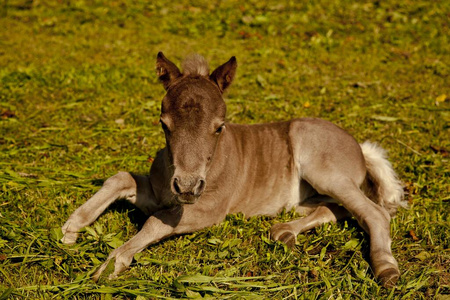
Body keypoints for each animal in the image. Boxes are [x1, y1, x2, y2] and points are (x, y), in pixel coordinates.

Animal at [61, 52, 406, 288]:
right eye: (164, 124)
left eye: (219, 127)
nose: (187, 187)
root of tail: (360, 149)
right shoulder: (160, 193)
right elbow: (121, 179)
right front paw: (71, 229)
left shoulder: (208, 210)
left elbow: (155, 223)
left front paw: (111, 264)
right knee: (338, 208)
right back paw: (283, 231)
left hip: (323, 169)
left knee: (373, 212)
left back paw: (387, 269)